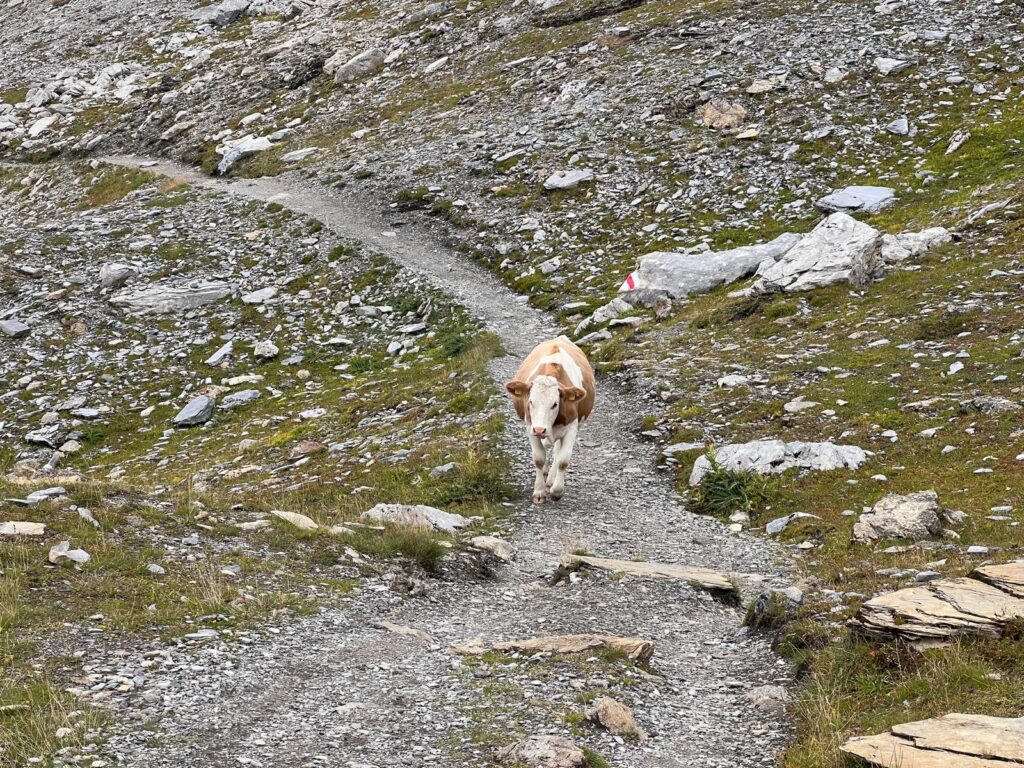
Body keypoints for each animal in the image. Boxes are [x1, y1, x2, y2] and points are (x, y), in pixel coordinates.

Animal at [505, 336, 596, 504]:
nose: (540, 429)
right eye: (530, 401)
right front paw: (539, 492)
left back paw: (551, 480)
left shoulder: (572, 426)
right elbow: (539, 458)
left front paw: (557, 491)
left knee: (557, 451)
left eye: (555, 404)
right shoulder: (530, 426)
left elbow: (563, 460)